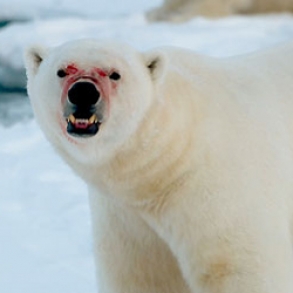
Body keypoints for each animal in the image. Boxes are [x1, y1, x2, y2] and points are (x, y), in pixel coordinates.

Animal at [23, 39, 293, 292]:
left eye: (115, 74)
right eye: (62, 71)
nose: (83, 92)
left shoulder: (219, 192)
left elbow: (240, 269)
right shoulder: (125, 218)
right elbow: (143, 277)